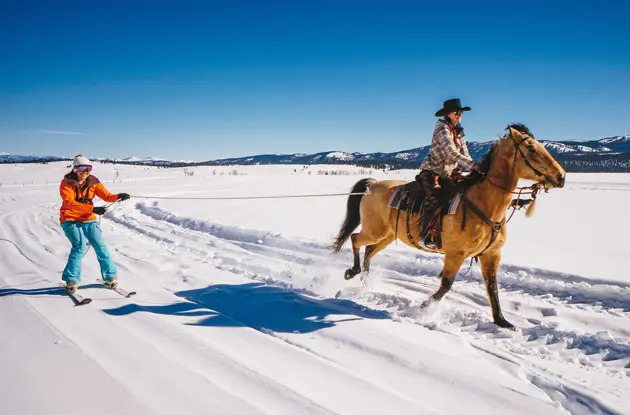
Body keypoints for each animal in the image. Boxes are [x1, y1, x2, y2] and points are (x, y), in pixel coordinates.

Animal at [336, 123, 568, 328]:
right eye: (531, 148)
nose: (561, 176)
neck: (484, 204)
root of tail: (373, 185)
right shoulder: (455, 254)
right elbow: (446, 285)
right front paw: (422, 307)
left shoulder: (491, 254)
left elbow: (492, 287)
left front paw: (502, 322)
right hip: (374, 231)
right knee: (355, 239)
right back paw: (352, 272)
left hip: (388, 235)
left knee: (369, 250)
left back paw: (365, 280)